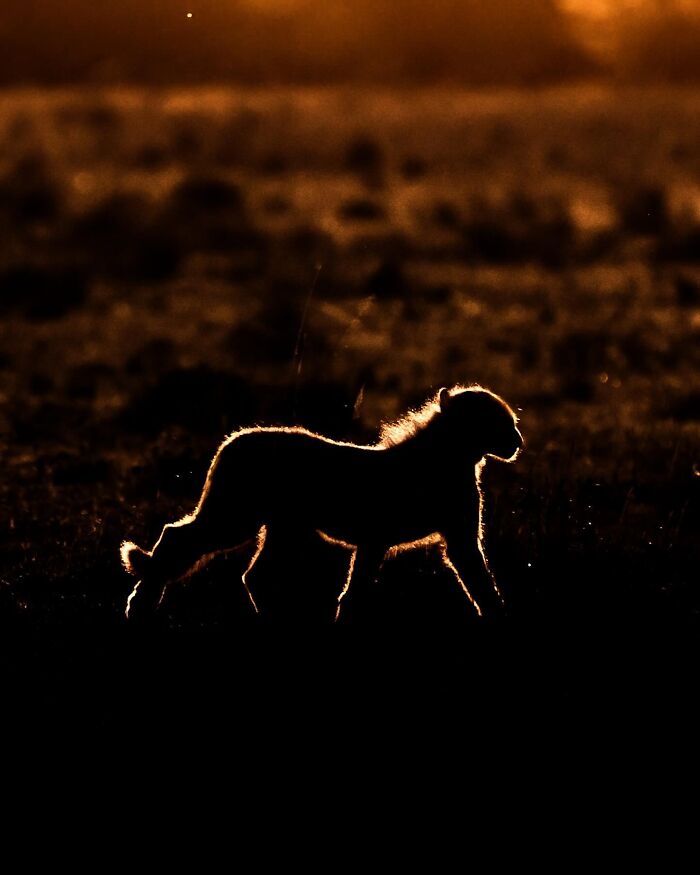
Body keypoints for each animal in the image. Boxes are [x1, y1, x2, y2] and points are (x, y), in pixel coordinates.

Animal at [121, 384, 523, 623]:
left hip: (282, 526)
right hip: (237, 517)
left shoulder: (375, 541)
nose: (518, 440)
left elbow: (356, 588)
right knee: (177, 537)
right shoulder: (442, 540)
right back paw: (141, 604)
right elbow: (479, 580)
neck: (452, 450)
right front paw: (500, 618)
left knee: (253, 574)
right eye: (500, 422)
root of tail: (235, 438)